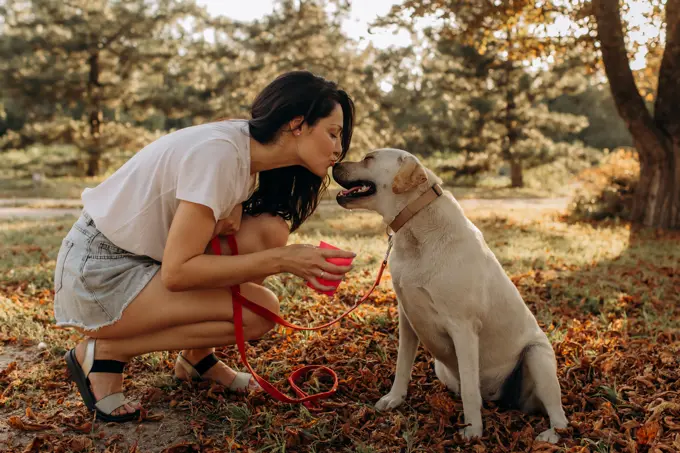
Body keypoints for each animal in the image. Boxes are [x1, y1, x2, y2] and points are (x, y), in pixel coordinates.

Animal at [332, 147, 564, 442]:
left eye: (369, 158)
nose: (334, 164)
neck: (415, 226)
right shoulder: (407, 318)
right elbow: (402, 365)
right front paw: (395, 398)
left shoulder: (463, 329)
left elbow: (470, 390)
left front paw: (473, 430)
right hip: (441, 367)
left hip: (537, 355)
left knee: (560, 416)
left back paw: (549, 436)